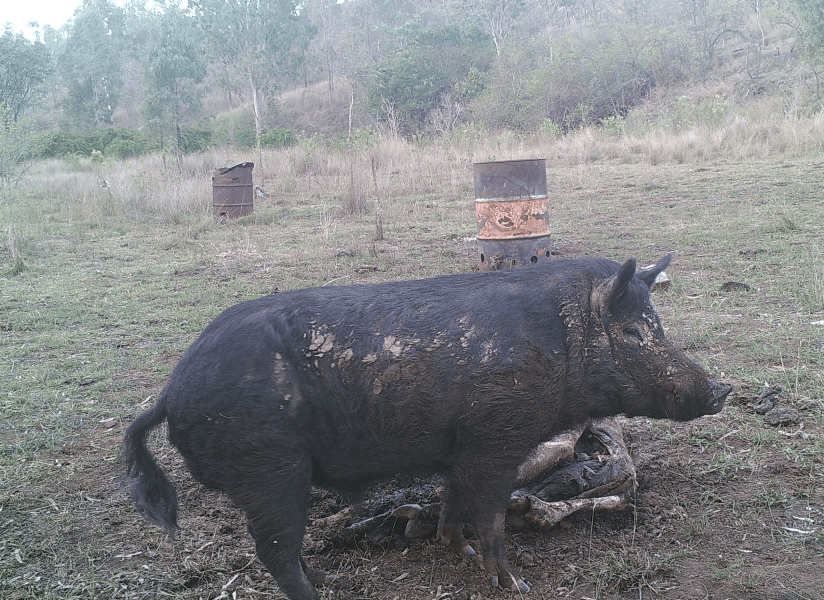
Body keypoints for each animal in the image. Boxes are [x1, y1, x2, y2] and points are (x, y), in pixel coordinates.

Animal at [122, 254, 730, 600]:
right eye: (633, 331)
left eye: (656, 322)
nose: (721, 390)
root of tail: (170, 393)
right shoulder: (496, 439)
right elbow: (491, 516)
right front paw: (515, 584)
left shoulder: (460, 448)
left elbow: (453, 502)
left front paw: (457, 551)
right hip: (269, 469)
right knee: (275, 551)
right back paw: (322, 593)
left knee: (282, 551)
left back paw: (331, 581)